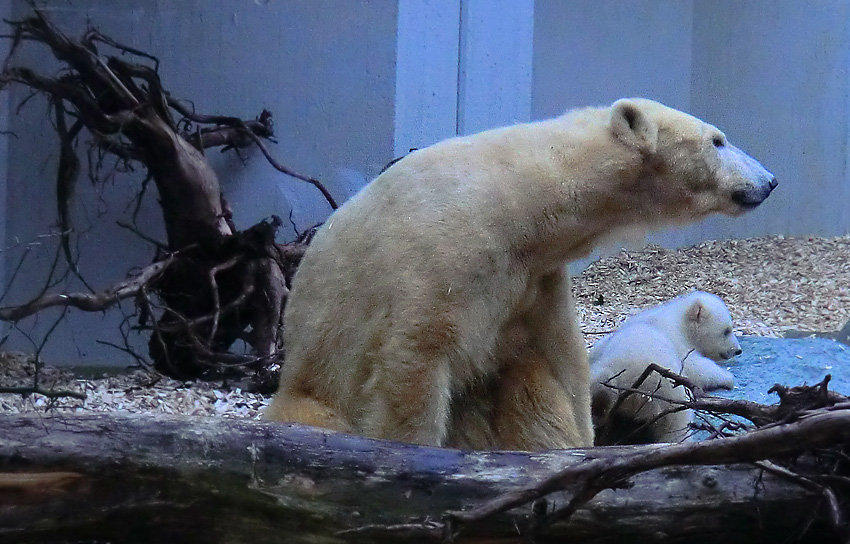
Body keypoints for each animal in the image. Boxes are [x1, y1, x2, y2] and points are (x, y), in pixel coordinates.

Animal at [266, 99, 776, 450]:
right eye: (718, 140)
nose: (769, 181)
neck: (515, 200)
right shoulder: (438, 255)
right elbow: (411, 363)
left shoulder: (532, 278)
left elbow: (560, 361)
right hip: (314, 386)